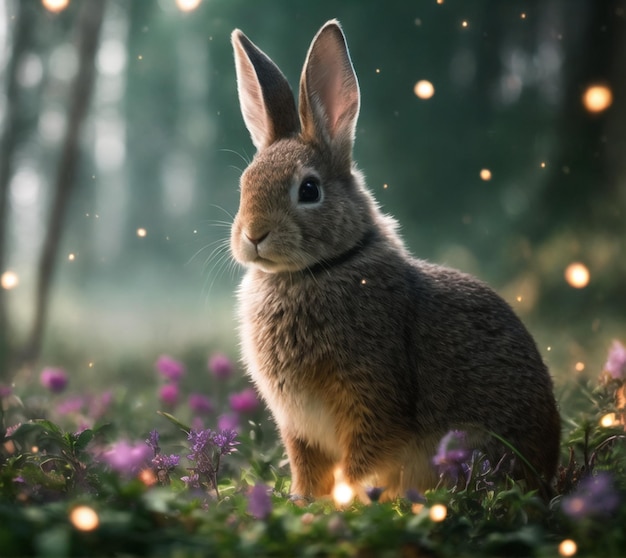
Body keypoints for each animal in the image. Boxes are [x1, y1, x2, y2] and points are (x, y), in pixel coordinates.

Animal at [229, 20, 560, 504]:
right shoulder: (299, 430)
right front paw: (304, 502)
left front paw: (342, 502)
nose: (253, 235)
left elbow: (362, 458)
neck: (318, 269)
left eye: (308, 190)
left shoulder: (372, 395)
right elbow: (309, 469)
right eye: (244, 183)